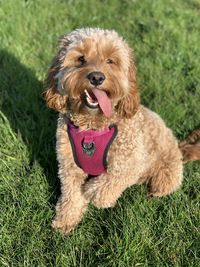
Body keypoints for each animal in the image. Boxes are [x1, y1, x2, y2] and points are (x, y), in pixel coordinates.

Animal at [44, 28, 200, 236]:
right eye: (80, 58)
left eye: (110, 61)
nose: (96, 77)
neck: (93, 127)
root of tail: (180, 149)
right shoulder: (69, 166)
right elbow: (71, 196)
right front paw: (65, 221)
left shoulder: (132, 161)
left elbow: (110, 181)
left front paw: (91, 191)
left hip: (166, 175)